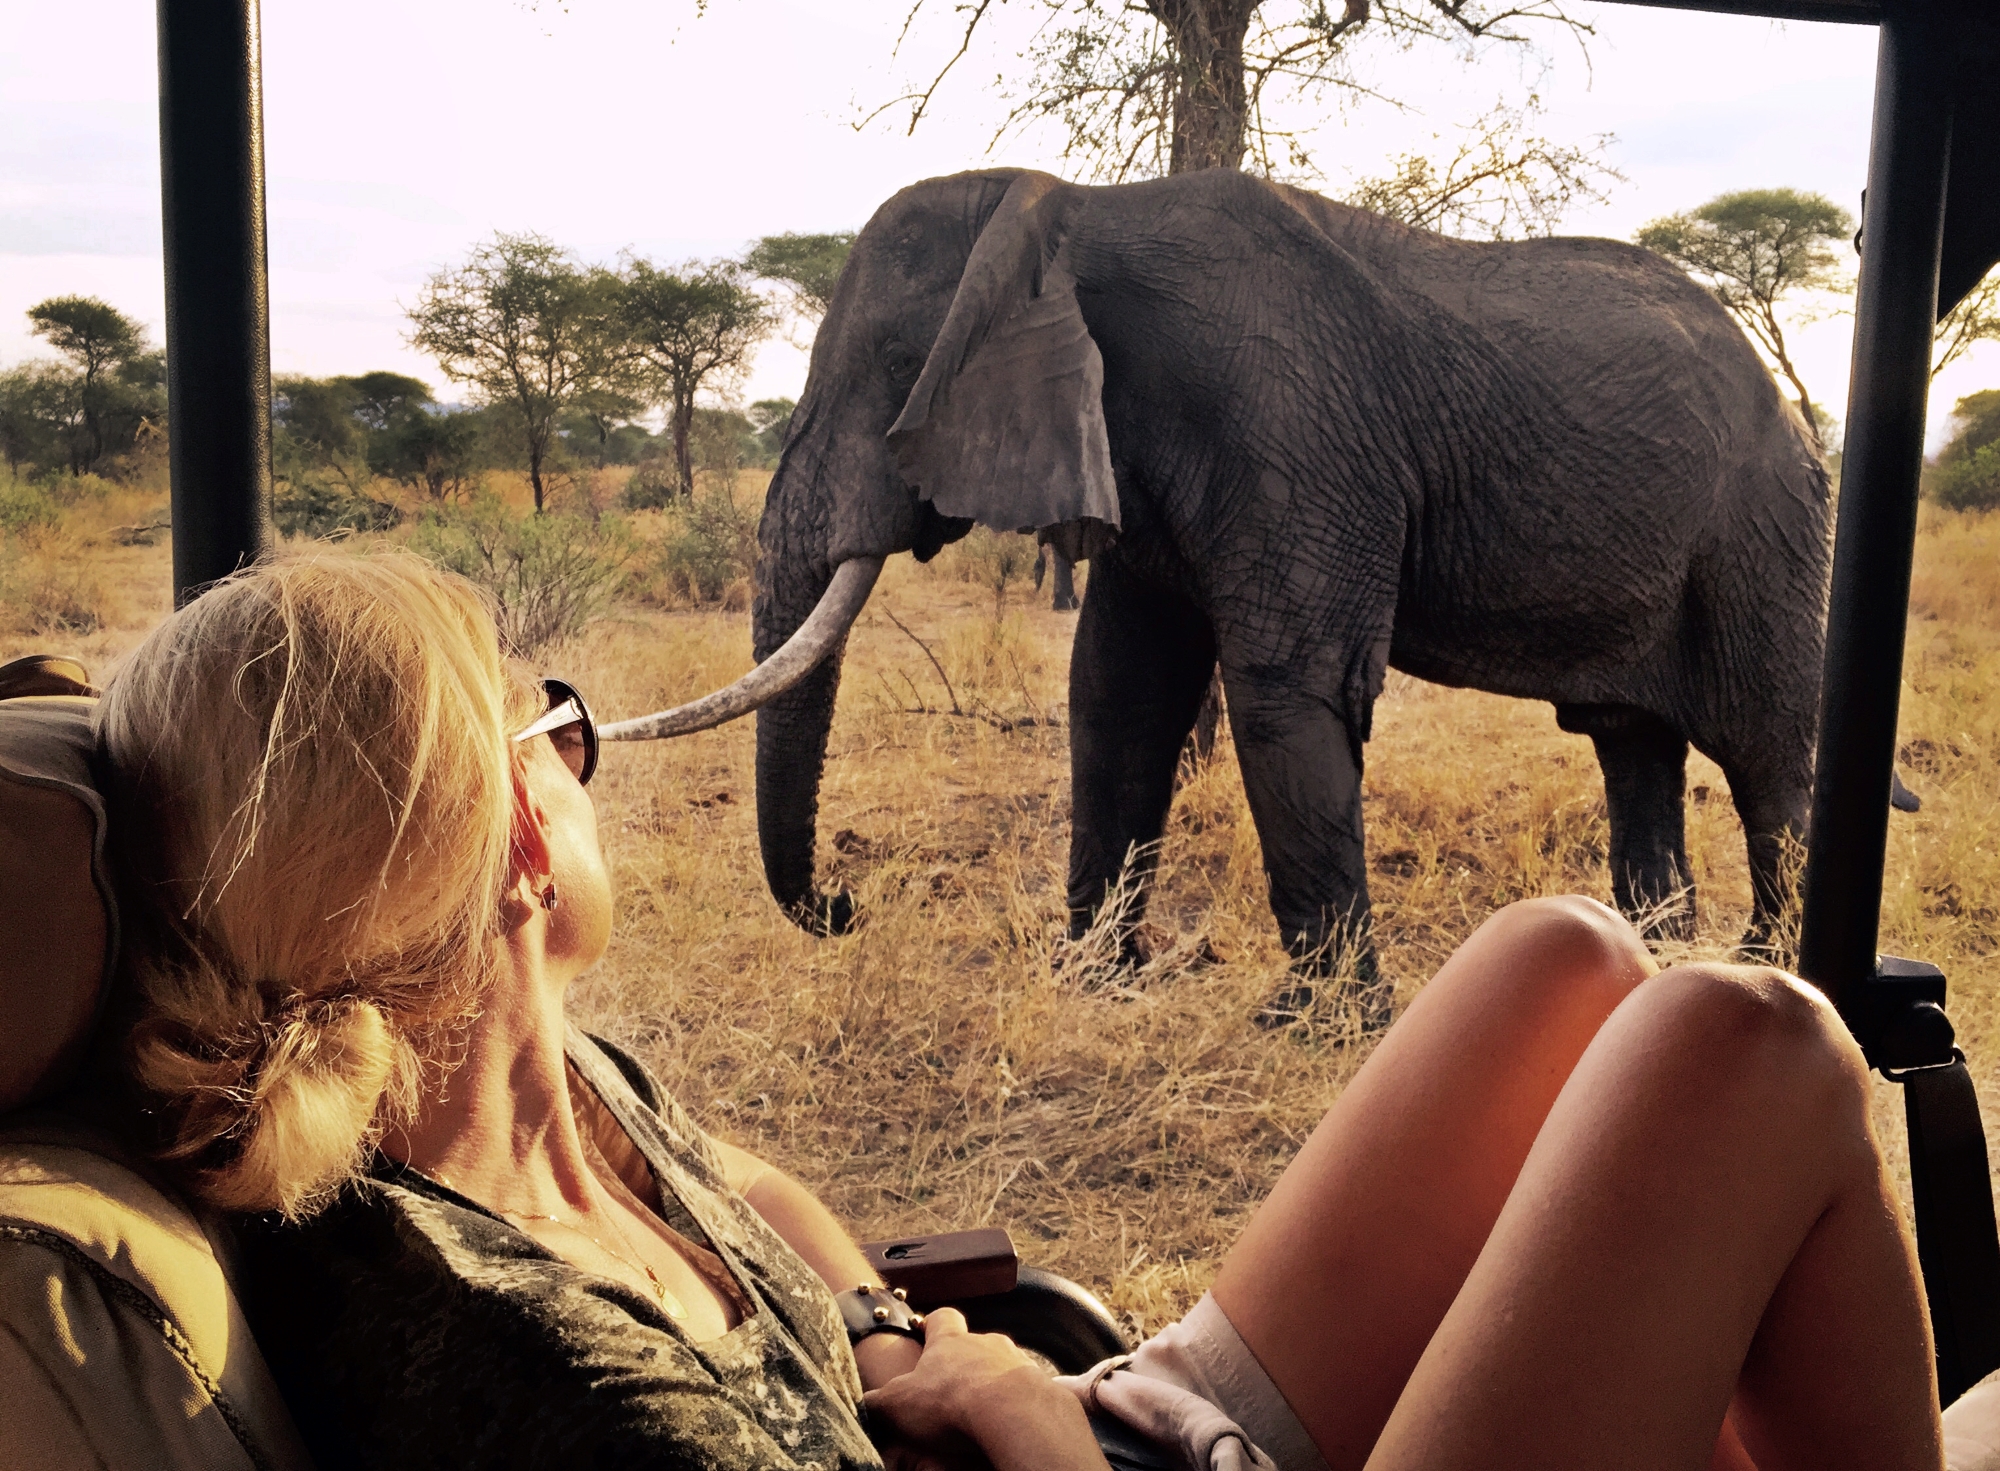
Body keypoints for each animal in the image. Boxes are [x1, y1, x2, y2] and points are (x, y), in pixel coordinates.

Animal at [604, 163, 1832, 1011]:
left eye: (899, 372)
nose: (849, 904)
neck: (1070, 212)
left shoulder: (1282, 422)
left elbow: (1285, 687)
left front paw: (1316, 1026)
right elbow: (1119, 692)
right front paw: (1095, 985)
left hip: (1763, 529)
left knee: (1768, 756)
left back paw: (1757, 973)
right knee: (1632, 745)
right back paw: (1657, 961)